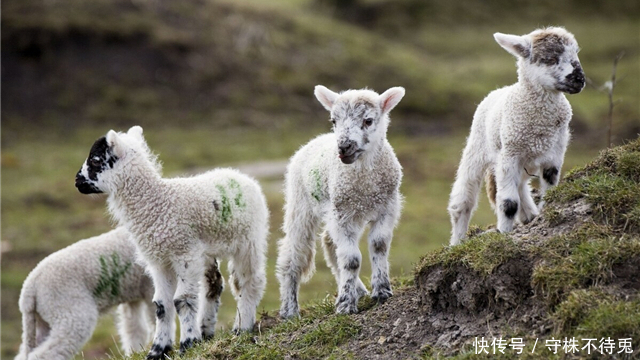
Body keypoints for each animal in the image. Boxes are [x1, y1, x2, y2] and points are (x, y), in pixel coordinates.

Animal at [15, 228, 155, 360]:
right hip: (70, 312)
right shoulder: (151, 288)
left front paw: (135, 352)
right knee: (44, 354)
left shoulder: (134, 295)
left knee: (26, 352)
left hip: (42, 321)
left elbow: (134, 329)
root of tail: (30, 289)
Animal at [75, 125, 270, 358]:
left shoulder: (183, 254)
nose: (77, 181)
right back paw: (207, 331)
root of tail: (240, 175)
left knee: (249, 281)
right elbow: (161, 305)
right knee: (215, 283)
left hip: (249, 240)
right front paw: (158, 350)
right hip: (205, 250)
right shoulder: (159, 260)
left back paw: (242, 328)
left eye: (95, 160)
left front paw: (188, 343)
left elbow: (182, 299)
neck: (157, 202)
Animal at [276, 85, 404, 318]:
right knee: (293, 253)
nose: (344, 147)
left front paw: (382, 291)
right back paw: (290, 310)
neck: (365, 181)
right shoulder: (343, 215)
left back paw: (359, 290)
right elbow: (352, 259)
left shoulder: (387, 207)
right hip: (301, 204)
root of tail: (316, 139)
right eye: (334, 120)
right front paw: (345, 305)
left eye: (368, 120)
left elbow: (379, 245)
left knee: (328, 241)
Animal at [448, 26, 584, 246]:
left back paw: (529, 215)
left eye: (576, 54)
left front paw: (545, 213)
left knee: (519, 186)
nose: (579, 80)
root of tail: (499, 90)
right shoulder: (510, 154)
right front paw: (504, 233)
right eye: (549, 58)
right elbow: (508, 203)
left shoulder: (555, 153)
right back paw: (457, 242)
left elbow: (550, 188)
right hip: (478, 149)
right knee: (463, 200)